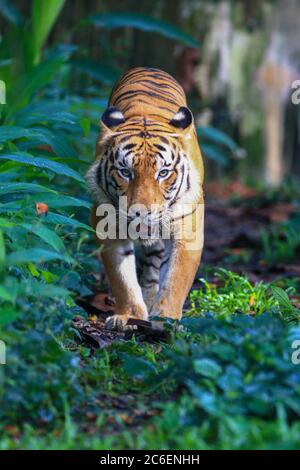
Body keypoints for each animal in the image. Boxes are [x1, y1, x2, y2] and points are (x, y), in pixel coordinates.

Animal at [86, 67, 204, 330]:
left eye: (163, 173)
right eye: (125, 172)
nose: (141, 212)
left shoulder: (188, 231)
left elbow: (176, 279)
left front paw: (167, 318)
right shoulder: (109, 227)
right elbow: (123, 278)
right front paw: (128, 316)